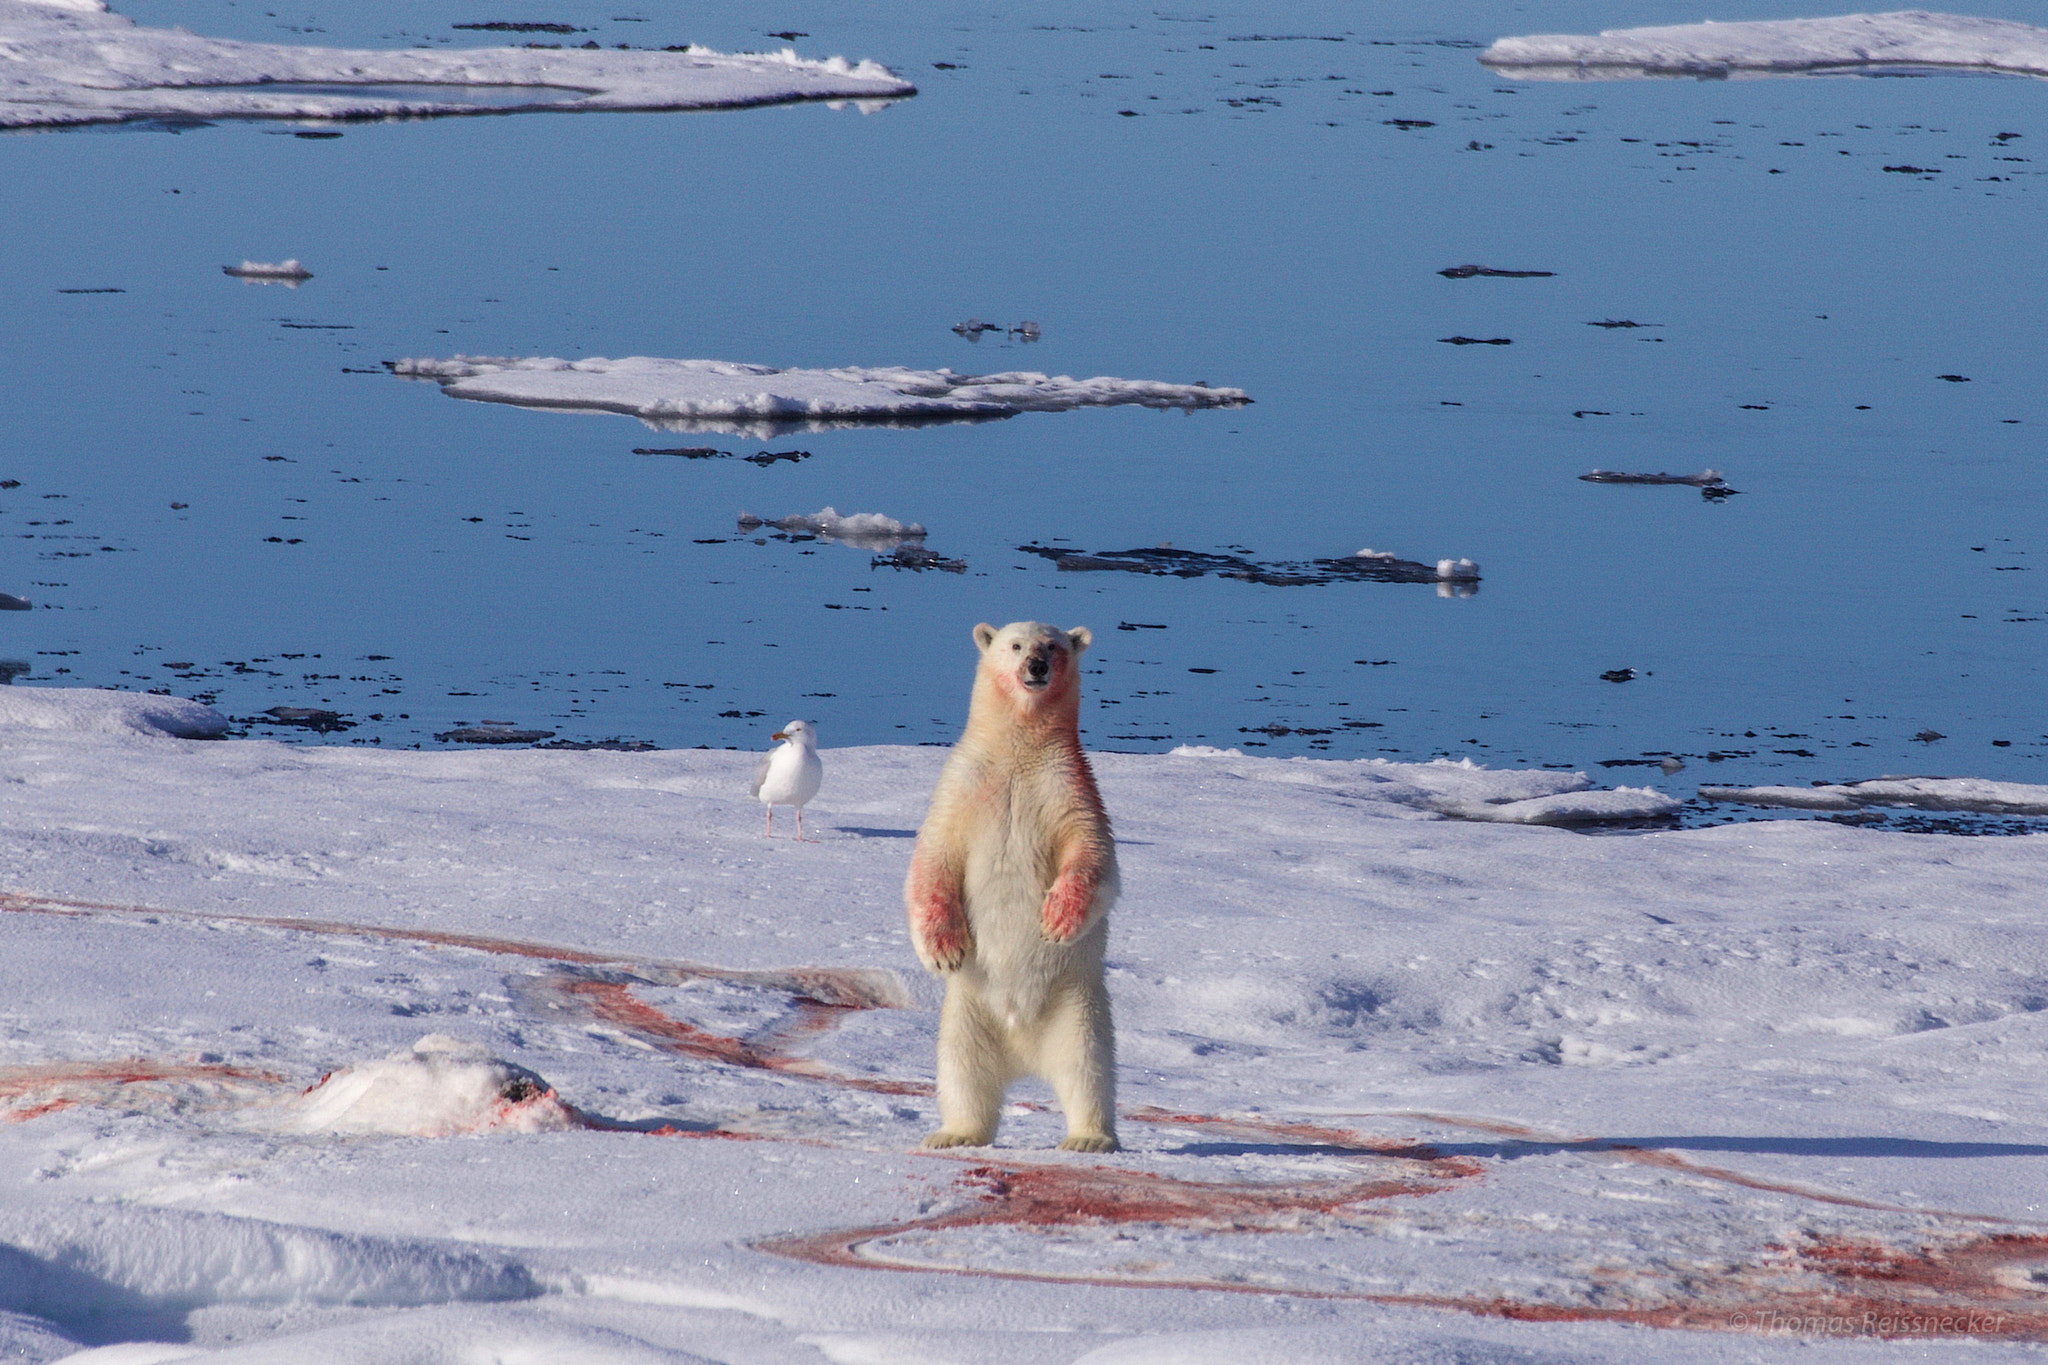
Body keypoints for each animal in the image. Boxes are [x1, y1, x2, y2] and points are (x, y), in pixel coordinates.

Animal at [901, 622, 1122, 1154]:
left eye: (1054, 646)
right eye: (1016, 645)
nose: (1035, 667)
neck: (1019, 751)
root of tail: (1023, 1048)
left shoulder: (1068, 788)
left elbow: (1093, 856)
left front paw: (1057, 920)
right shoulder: (963, 788)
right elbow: (933, 860)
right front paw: (943, 950)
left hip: (1075, 1004)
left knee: (1089, 1069)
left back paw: (1088, 1138)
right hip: (970, 1010)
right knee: (963, 1070)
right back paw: (954, 1133)